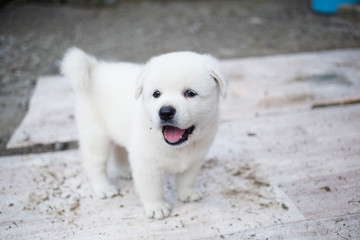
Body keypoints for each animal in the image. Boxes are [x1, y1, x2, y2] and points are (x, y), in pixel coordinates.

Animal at [60, 48, 226, 219]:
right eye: (156, 94)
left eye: (190, 93)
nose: (165, 112)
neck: (178, 147)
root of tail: (95, 68)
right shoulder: (146, 163)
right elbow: (152, 188)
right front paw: (156, 207)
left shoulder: (195, 158)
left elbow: (187, 178)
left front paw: (187, 192)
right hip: (95, 135)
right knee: (94, 164)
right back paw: (103, 188)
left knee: (119, 150)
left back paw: (126, 171)